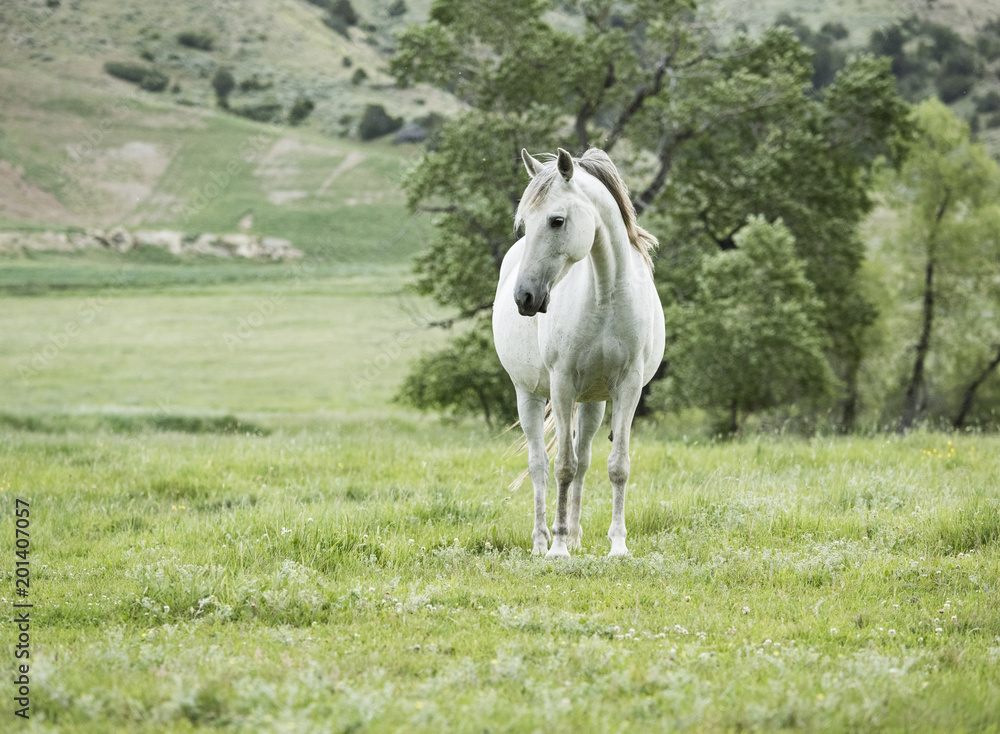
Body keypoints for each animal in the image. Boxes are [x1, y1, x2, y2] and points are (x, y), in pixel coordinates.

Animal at [493, 147, 665, 558]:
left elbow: (616, 465)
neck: (606, 293)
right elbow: (562, 468)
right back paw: (542, 541)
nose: (524, 298)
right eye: (524, 224)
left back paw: (575, 534)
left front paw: (617, 545)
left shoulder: (628, 387)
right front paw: (557, 548)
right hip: (529, 395)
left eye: (557, 221)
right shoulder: (562, 384)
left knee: (584, 460)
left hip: (592, 403)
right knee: (540, 464)